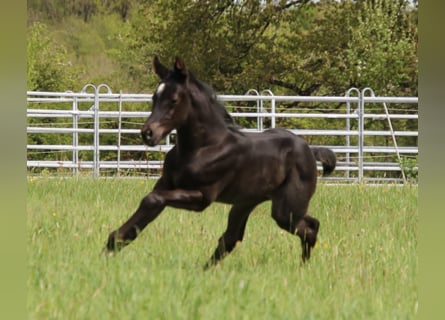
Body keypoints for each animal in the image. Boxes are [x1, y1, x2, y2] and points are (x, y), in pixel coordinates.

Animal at [106, 57, 334, 268]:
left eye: (173, 100)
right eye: (155, 97)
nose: (148, 133)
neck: (202, 148)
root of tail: (310, 150)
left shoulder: (203, 197)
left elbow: (152, 200)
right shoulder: (165, 185)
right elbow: (150, 203)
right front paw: (112, 244)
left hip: (285, 209)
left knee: (310, 227)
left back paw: (303, 267)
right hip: (245, 203)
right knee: (231, 238)